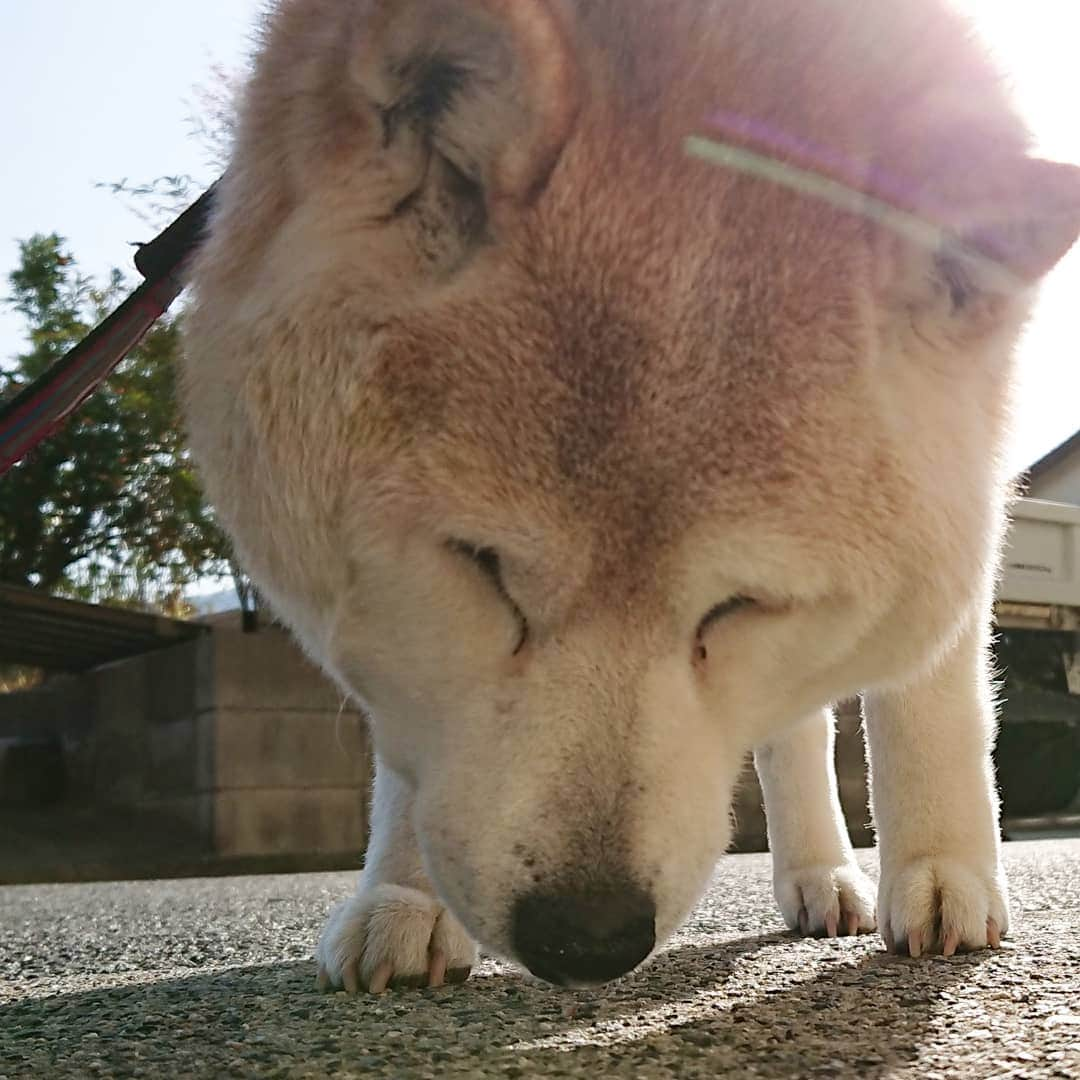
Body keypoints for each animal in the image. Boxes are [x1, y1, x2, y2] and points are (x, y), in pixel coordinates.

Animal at [181, 0, 1080, 989]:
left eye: (738, 607)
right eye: (483, 570)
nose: (585, 933)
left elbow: (928, 708)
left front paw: (942, 871)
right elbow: (414, 731)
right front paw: (405, 899)